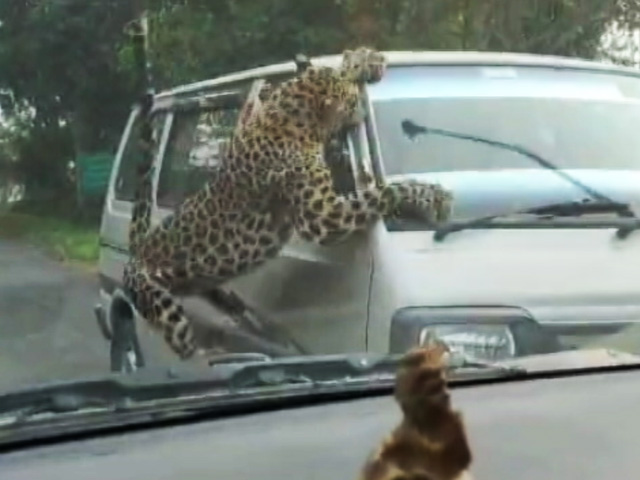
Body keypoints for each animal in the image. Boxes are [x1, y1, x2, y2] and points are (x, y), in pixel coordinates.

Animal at [122, 46, 456, 363]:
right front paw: (434, 196)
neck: (296, 114)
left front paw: (364, 60)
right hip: (160, 303)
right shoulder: (323, 217)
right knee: (181, 342)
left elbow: (334, 68)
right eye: (351, 101)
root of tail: (138, 250)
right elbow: (383, 191)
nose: (362, 109)